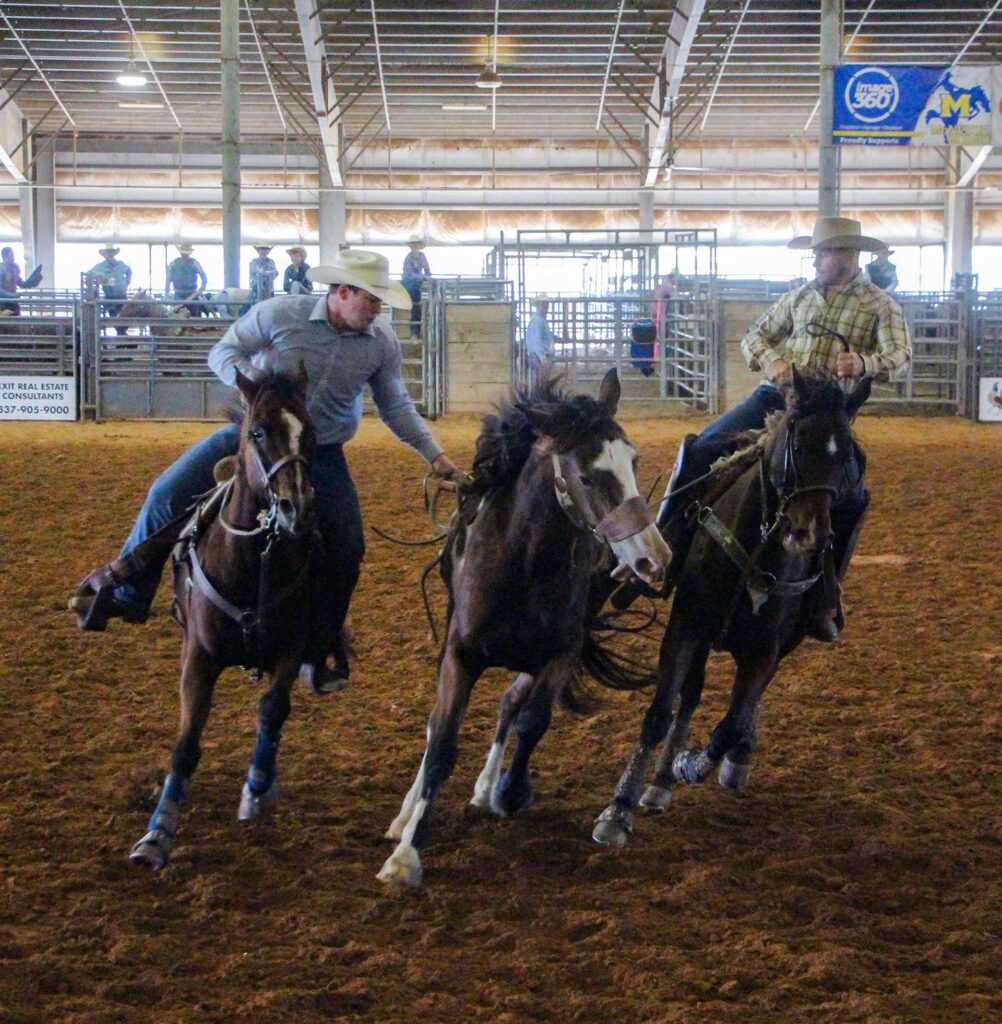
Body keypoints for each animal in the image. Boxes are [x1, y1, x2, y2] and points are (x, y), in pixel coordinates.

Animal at [129, 364, 315, 868]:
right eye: (257, 432)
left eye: (309, 431)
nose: (295, 509)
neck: (253, 561)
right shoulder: (198, 657)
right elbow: (187, 743)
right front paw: (157, 834)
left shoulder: (292, 647)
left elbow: (272, 711)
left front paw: (257, 790)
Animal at [380, 370, 671, 888]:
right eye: (587, 475)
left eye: (634, 460)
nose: (653, 558)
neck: (523, 565)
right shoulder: (459, 655)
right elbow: (443, 741)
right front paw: (406, 855)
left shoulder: (558, 656)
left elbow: (532, 720)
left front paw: (510, 792)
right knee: (439, 724)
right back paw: (405, 815)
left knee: (508, 704)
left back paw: (485, 789)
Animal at [593, 370, 867, 847]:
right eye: (798, 444)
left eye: (845, 452)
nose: (807, 535)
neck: (760, 545)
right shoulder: (686, 626)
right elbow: (660, 713)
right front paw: (619, 807)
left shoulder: (765, 650)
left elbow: (732, 722)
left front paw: (691, 763)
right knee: (690, 695)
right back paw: (658, 783)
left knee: (737, 707)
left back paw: (729, 761)